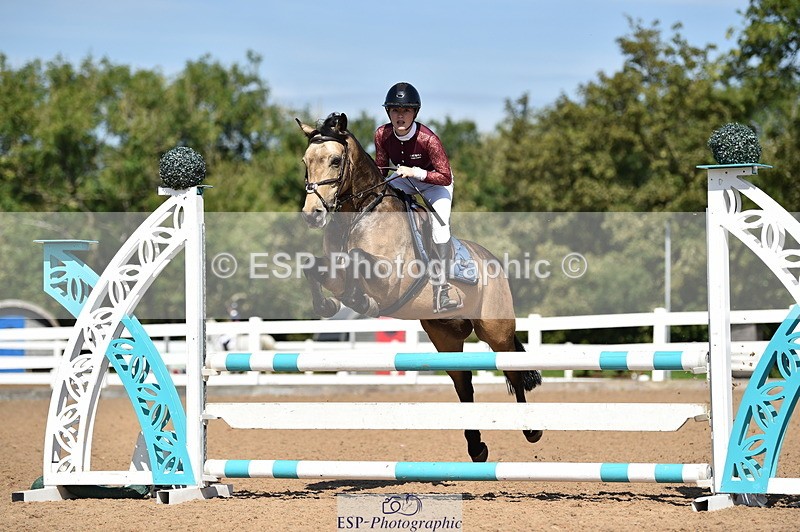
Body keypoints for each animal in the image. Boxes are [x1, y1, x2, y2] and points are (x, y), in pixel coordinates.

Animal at [296, 112, 542, 462]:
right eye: (306, 161)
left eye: (335, 161)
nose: (312, 215)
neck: (359, 214)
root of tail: (492, 260)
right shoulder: (335, 271)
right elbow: (314, 268)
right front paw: (329, 305)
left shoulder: (392, 278)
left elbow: (358, 259)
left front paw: (363, 302)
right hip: (445, 335)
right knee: (463, 383)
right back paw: (477, 447)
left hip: (495, 329)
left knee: (512, 369)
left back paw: (530, 429)